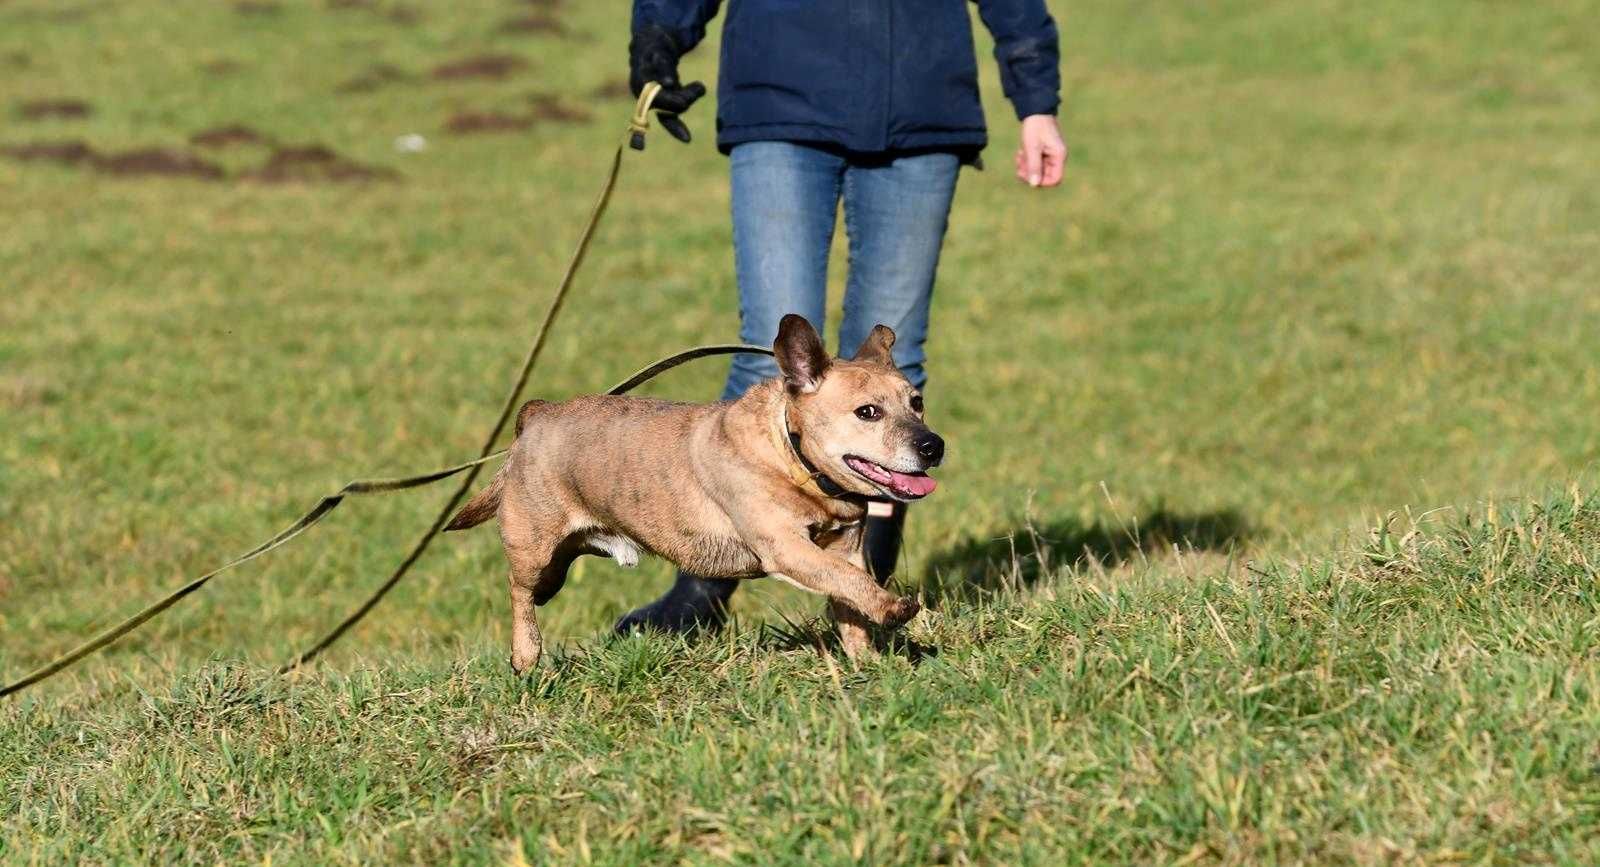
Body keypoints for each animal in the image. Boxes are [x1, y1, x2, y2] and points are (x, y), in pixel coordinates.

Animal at [444, 315, 940, 671]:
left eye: (917, 402)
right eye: (867, 412)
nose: (933, 445)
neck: (794, 458)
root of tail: (537, 416)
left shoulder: (846, 547)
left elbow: (849, 600)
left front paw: (868, 662)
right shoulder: (787, 548)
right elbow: (846, 581)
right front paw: (894, 608)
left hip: (558, 559)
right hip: (533, 545)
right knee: (520, 592)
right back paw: (526, 653)